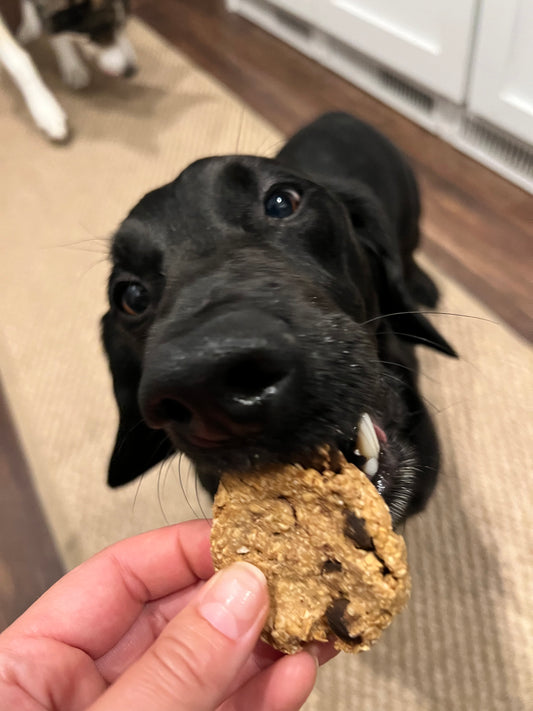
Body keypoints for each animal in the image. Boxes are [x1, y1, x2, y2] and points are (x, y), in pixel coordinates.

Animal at [0, 0, 135, 142]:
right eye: (101, 29)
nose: (131, 71)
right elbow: (19, 60)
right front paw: (45, 108)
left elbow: (57, 27)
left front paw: (72, 65)